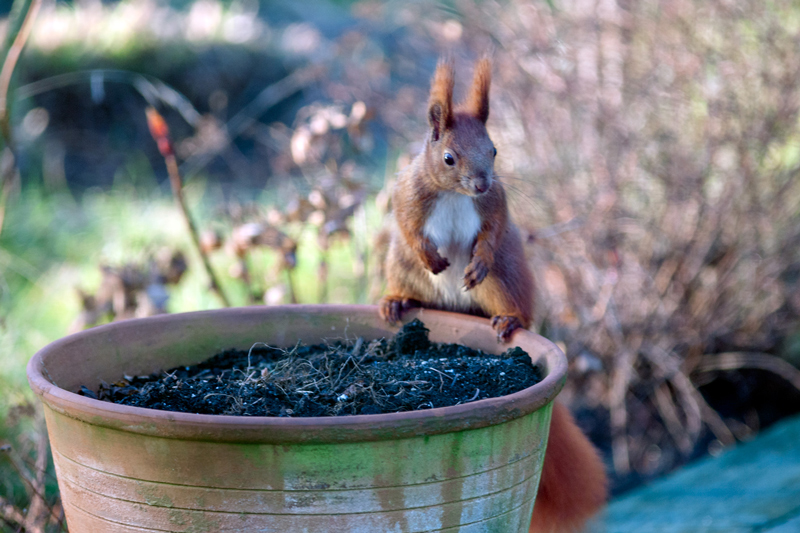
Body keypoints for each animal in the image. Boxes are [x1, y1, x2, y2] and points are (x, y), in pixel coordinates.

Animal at [382, 56, 608, 528]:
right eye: (448, 158)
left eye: (495, 150)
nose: (482, 183)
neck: (452, 193)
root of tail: (456, 309)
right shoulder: (408, 196)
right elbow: (409, 226)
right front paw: (432, 257)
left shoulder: (496, 206)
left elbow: (492, 230)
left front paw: (477, 259)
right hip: (403, 267)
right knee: (410, 277)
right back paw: (396, 301)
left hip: (503, 279)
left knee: (506, 298)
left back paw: (507, 320)